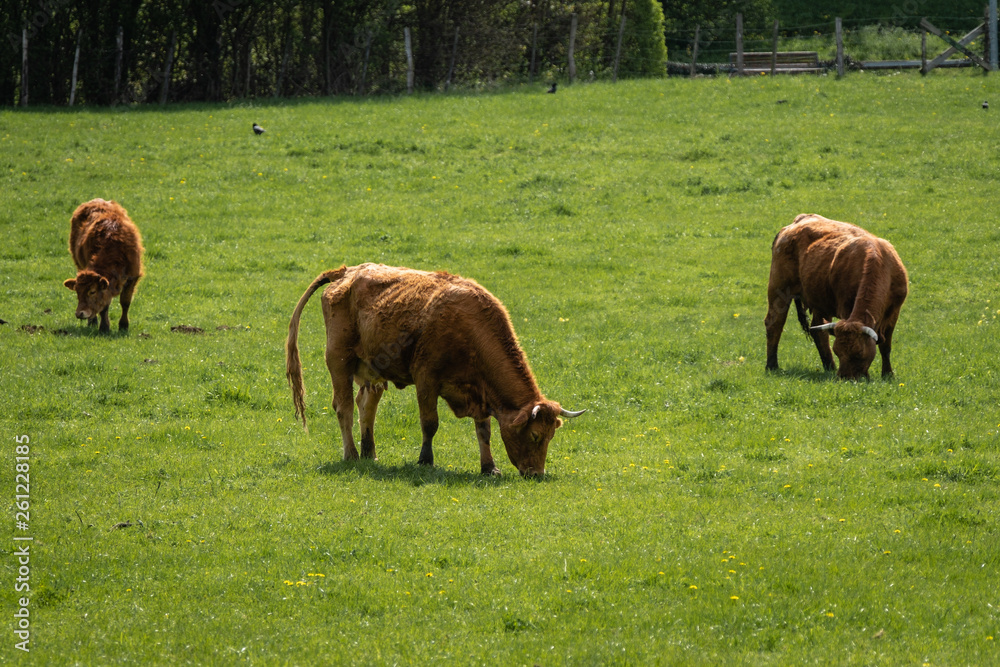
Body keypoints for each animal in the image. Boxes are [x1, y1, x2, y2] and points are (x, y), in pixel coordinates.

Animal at [63, 199, 144, 333]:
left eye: (92, 291)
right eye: (77, 292)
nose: (79, 313)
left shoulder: (133, 277)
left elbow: (125, 302)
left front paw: (123, 325)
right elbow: (104, 306)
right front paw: (104, 327)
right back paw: (92, 321)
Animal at [285, 263, 585, 477]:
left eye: (551, 435)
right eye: (535, 435)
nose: (537, 474)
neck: (470, 327)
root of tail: (345, 272)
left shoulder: (479, 391)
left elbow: (484, 431)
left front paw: (489, 467)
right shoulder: (426, 380)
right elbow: (430, 423)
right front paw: (425, 460)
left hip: (372, 369)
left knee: (366, 405)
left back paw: (370, 453)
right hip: (339, 361)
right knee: (344, 407)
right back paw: (352, 454)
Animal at [764, 214, 908, 379]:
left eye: (859, 354)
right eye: (838, 352)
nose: (845, 378)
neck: (878, 260)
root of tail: (800, 219)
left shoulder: (894, 312)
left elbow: (885, 346)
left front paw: (888, 375)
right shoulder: (845, 307)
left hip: (819, 300)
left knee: (818, 331)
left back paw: (829, 367)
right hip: (778, 289)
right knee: (774, 323)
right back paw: (772, 365)